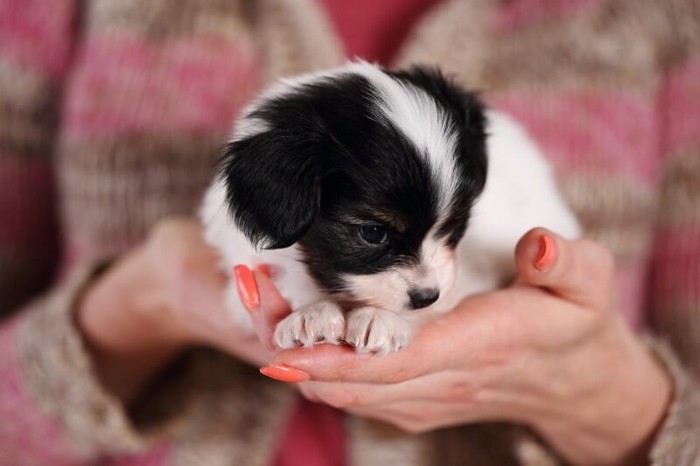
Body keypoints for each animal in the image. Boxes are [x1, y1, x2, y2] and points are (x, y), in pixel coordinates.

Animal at [201, 61, 580, 354]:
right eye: (373, 233)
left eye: (454, 227)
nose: (426, 296)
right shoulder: (242, 271)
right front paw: (312, 314)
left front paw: (383, 319)